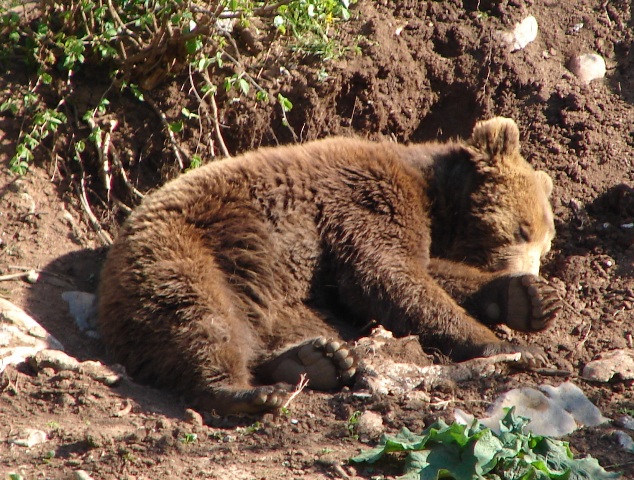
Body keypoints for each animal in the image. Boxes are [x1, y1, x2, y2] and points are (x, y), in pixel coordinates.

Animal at [97, 117, 556, 416]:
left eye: (546, 241)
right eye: (522, 228)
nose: (534, 272)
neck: (433, 199)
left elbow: (430, 271)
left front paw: (527, 298)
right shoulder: (368, 199)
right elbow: (388, 276)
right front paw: (503, 344)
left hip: (274, 292)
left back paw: (317, 359)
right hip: (187, 249)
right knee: (201, 317)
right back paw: (246, 392)